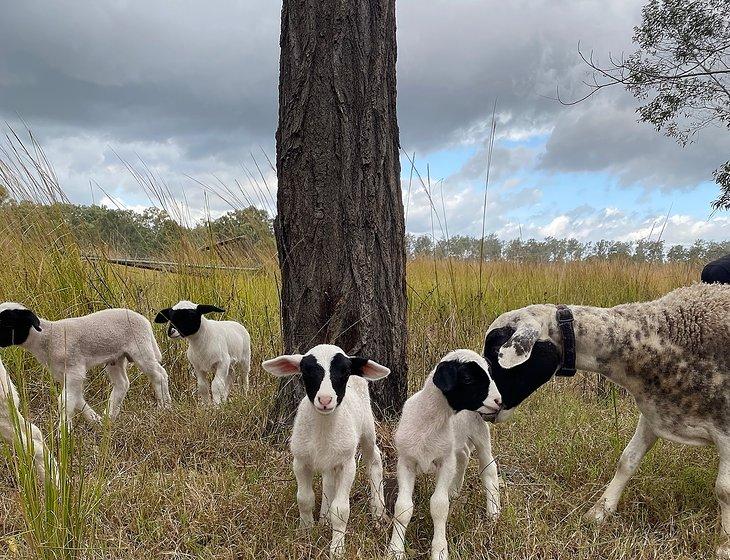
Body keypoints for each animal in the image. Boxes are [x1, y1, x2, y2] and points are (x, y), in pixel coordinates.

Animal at [0, 300, 170, 430]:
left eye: (6, 323)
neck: (48, 338)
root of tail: (145, 320)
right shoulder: (63, 374)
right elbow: (76, 400)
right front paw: (96, 421)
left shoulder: (75, 370)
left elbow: (65, 400)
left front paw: (64, 432)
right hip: (115, 358)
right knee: (122, 383)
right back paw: (109, 416)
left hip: (141, 349)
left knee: (159, 375)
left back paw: (165, 406)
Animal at [260, 344, 390, 556]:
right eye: (306, 371)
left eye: (344, 371)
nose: (325, 399)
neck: (323, 427)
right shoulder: (300, 461)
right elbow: (304, 499)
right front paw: (306, 532)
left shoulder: (348, 464)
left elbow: (341, 510)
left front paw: (337, 548)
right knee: (328, 479)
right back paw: (324, 518)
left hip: (367, 428)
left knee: (375, 459)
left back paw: (378, 513)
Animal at [386, 350, 500, 560]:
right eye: (468, 378)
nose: (499, 401)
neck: (429, 422)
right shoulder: (406, 461)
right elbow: (403, 507)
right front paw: (395, 550)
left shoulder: (445, 462)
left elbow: (439, 506)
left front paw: (439, 550)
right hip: (457, 441)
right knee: (463, 455)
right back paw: (454, 491)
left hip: (479, 432)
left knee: (489, 468)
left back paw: (493, 513)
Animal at [484, 284, 728, 560]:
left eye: (494, 350)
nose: (486, 407)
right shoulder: (653, 414)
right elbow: (627, 461)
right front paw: (600, 512)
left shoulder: (725, 428)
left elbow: (724, 489)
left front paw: (724, 544)